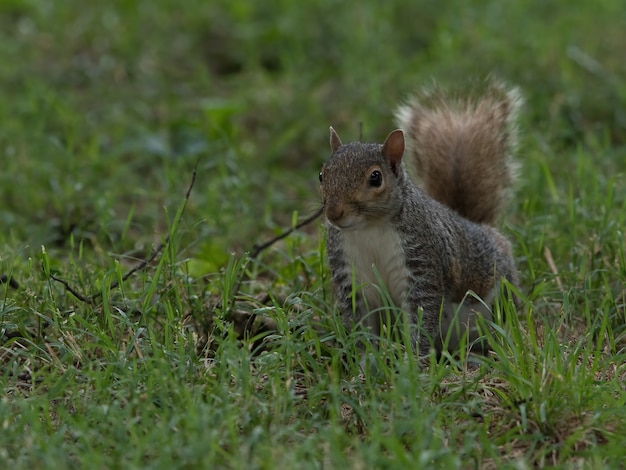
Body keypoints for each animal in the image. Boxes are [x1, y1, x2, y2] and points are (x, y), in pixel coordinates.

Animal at [320, 80, 520, 356]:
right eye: (322, 174)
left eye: (375, 177)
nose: (333, 213)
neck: (369, 229)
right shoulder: (349, 271)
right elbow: (359, 320)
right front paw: (362, 357)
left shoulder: (423, 261)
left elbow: (422, 314)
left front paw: (415, 359)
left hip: (499, 294)